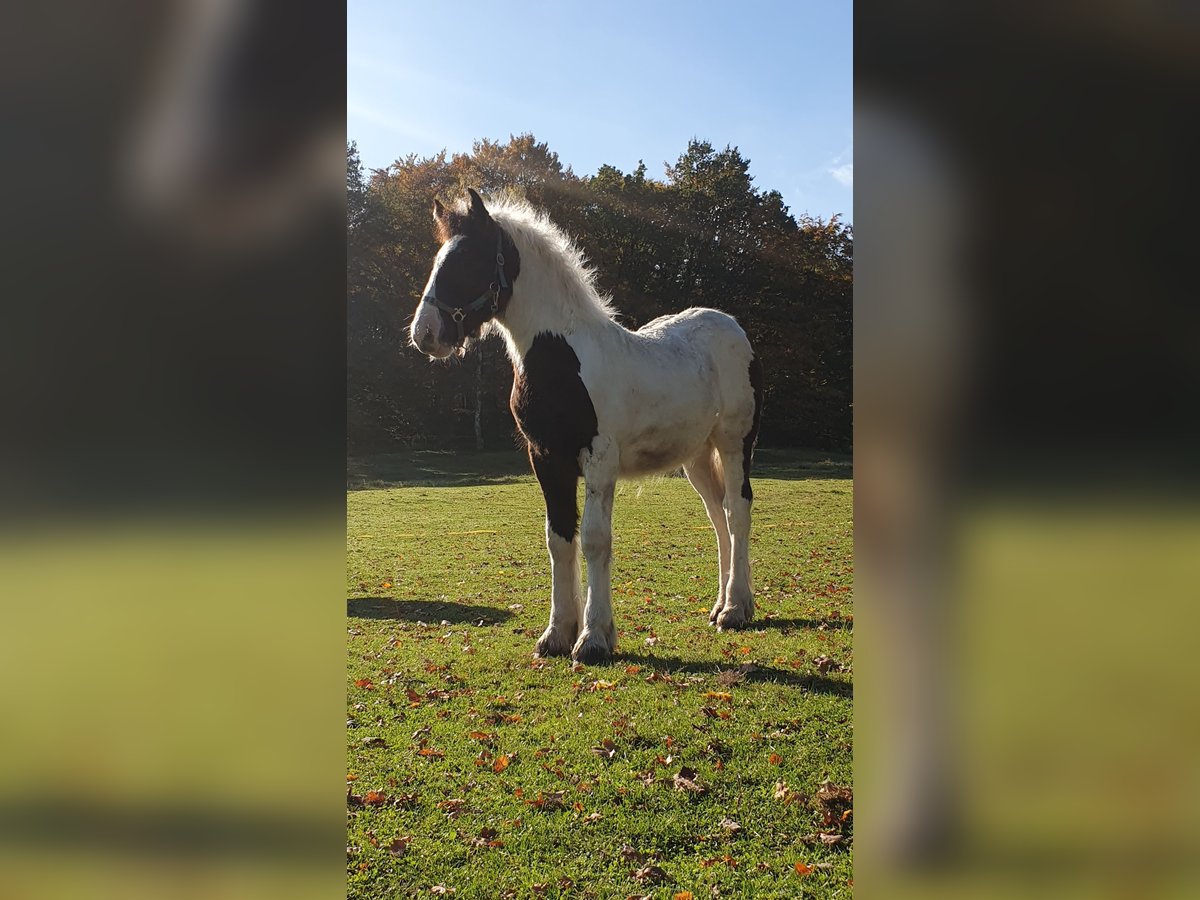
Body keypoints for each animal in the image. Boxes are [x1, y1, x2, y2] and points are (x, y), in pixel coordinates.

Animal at [408, 190, 763, 667]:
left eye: (468, 261)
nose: (426, 333)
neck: (562, 356)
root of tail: (733, 327)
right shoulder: (545, 459)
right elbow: (559, 539)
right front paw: (557, 633)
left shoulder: (598, 457)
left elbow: (594, 539)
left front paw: (594, 637)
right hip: (696, 457)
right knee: (718, 514)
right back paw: (723, 604)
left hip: (734, 442)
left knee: (738, 509)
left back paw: (736, 610)